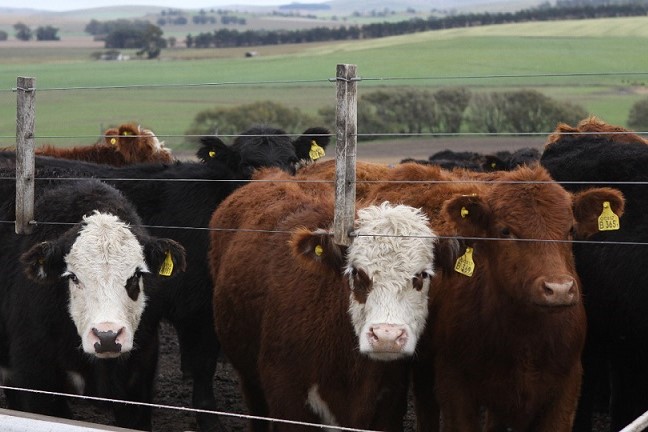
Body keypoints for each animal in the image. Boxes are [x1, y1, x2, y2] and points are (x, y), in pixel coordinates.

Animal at [210, 169, 442, 432]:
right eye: (356, 272)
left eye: (421, 275)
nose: (387, 337)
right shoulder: (288, 402)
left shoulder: (388, 405)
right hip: (249, 379)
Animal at [362, 163, 624, 432]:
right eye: (505, 231)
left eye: (570, 229)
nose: (559, 288)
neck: (525, 337)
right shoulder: (454, 385)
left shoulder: (565, 390)